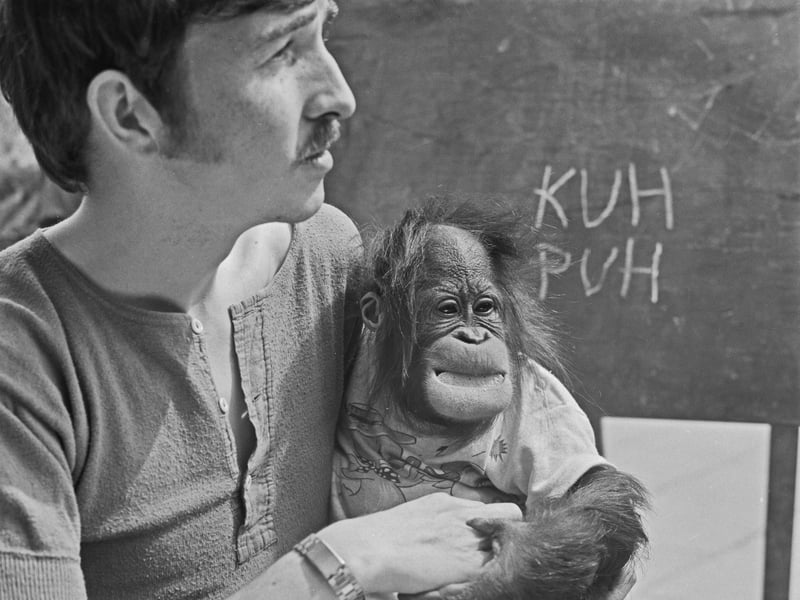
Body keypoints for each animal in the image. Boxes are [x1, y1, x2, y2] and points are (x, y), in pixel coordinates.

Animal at [331, 198, 649, 600]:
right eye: (448, 309)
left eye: (484, 308)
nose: (475, 337)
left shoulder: (542, 402)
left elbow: (596, 489)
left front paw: (513, 562)